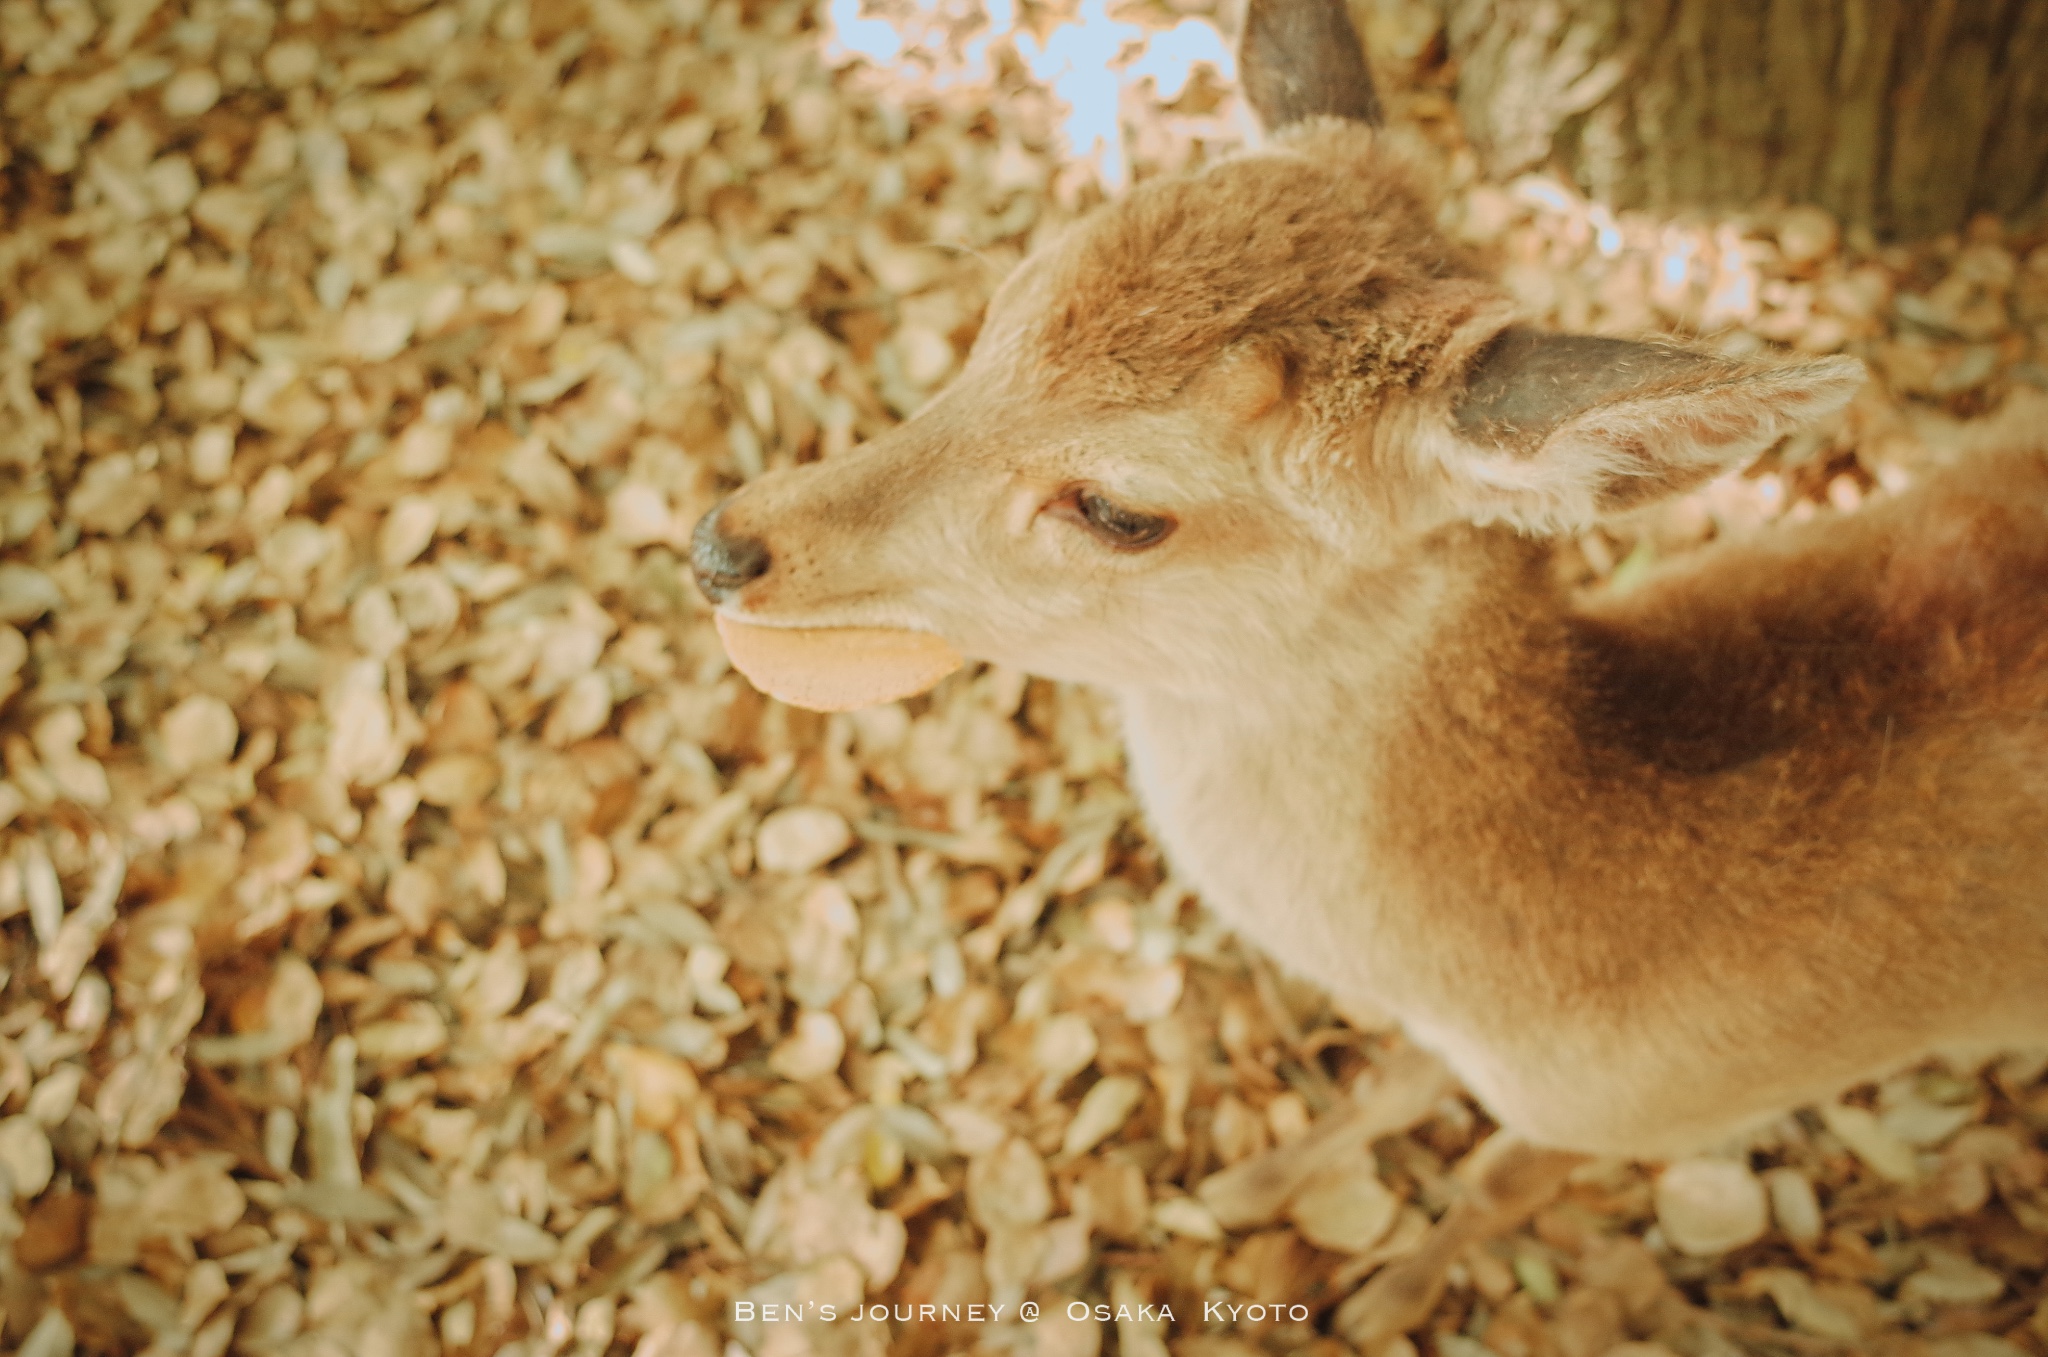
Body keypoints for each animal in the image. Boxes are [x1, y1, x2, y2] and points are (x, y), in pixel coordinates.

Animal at [684, 0, 2048, 1342]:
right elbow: (1392, 1080)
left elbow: (1494, 1182)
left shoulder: (1638, 1111)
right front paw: (1248, 1186)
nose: (723, 545)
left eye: (1120, 509)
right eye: (1001, 306)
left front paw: (1383, 1297)